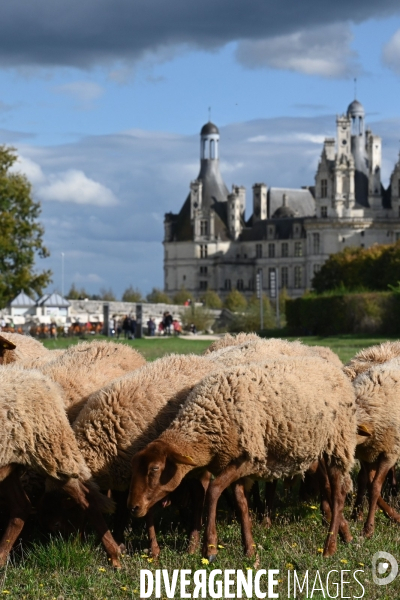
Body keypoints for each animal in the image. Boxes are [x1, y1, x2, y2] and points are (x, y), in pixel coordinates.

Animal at [0, 366, 121, 568]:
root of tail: (37, 377)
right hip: (11, 461)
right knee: (21, 506)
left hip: (51, 451)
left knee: (84, 495)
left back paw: (114, 555)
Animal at [128, 356, 356, 556]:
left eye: (155, 468)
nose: (133, 507)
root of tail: (335, 369)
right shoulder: (230, 463)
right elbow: (241, 506)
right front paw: (250, 551)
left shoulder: (250, 458)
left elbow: (213, 491)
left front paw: (210, 548)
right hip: (322, 448)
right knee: (330, 487)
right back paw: (346, 536)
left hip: (339, 442)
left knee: (338, 494)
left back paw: (329, 547)